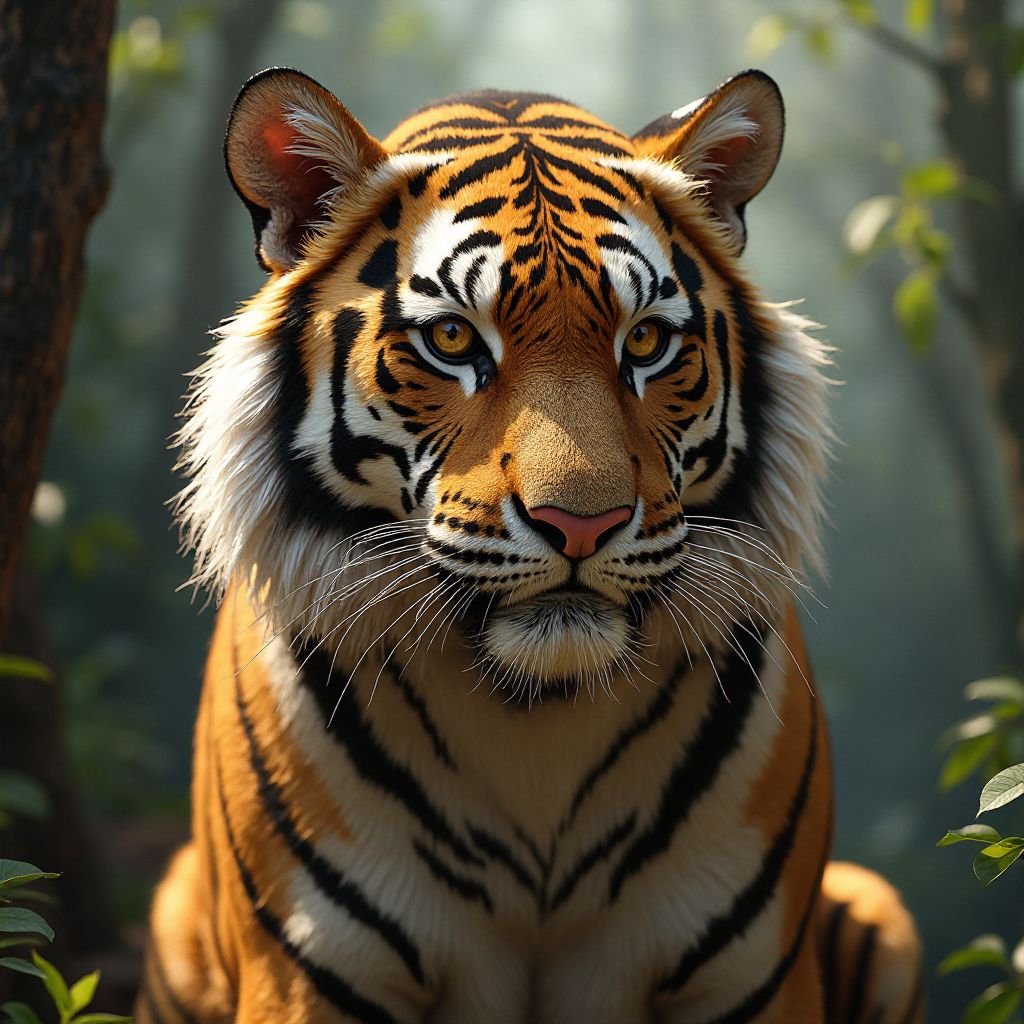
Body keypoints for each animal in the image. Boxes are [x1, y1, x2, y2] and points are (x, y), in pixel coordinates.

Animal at [136, 67, 924, 1024]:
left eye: (646, 341)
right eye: (451, 339)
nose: (582, 524)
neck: (536, 717)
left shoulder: (753, 978)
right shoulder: (307, 973)